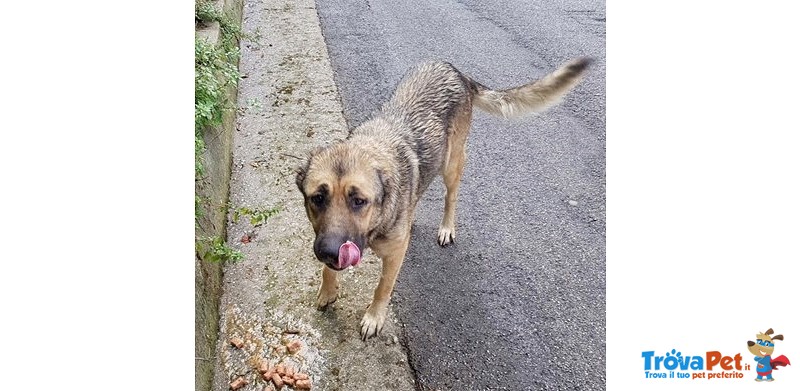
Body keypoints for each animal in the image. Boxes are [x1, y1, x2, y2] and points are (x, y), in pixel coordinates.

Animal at [294, 58, 588, 340]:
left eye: (358, 201)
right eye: (317, 198)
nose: (329, 250)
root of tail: (457, 72)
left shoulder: (395, 255)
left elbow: (382, 288)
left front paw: (374, 317)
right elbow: (327, 270)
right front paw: (328, 290)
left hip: (452, 163)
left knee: (451, 197)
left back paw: (447, 227)